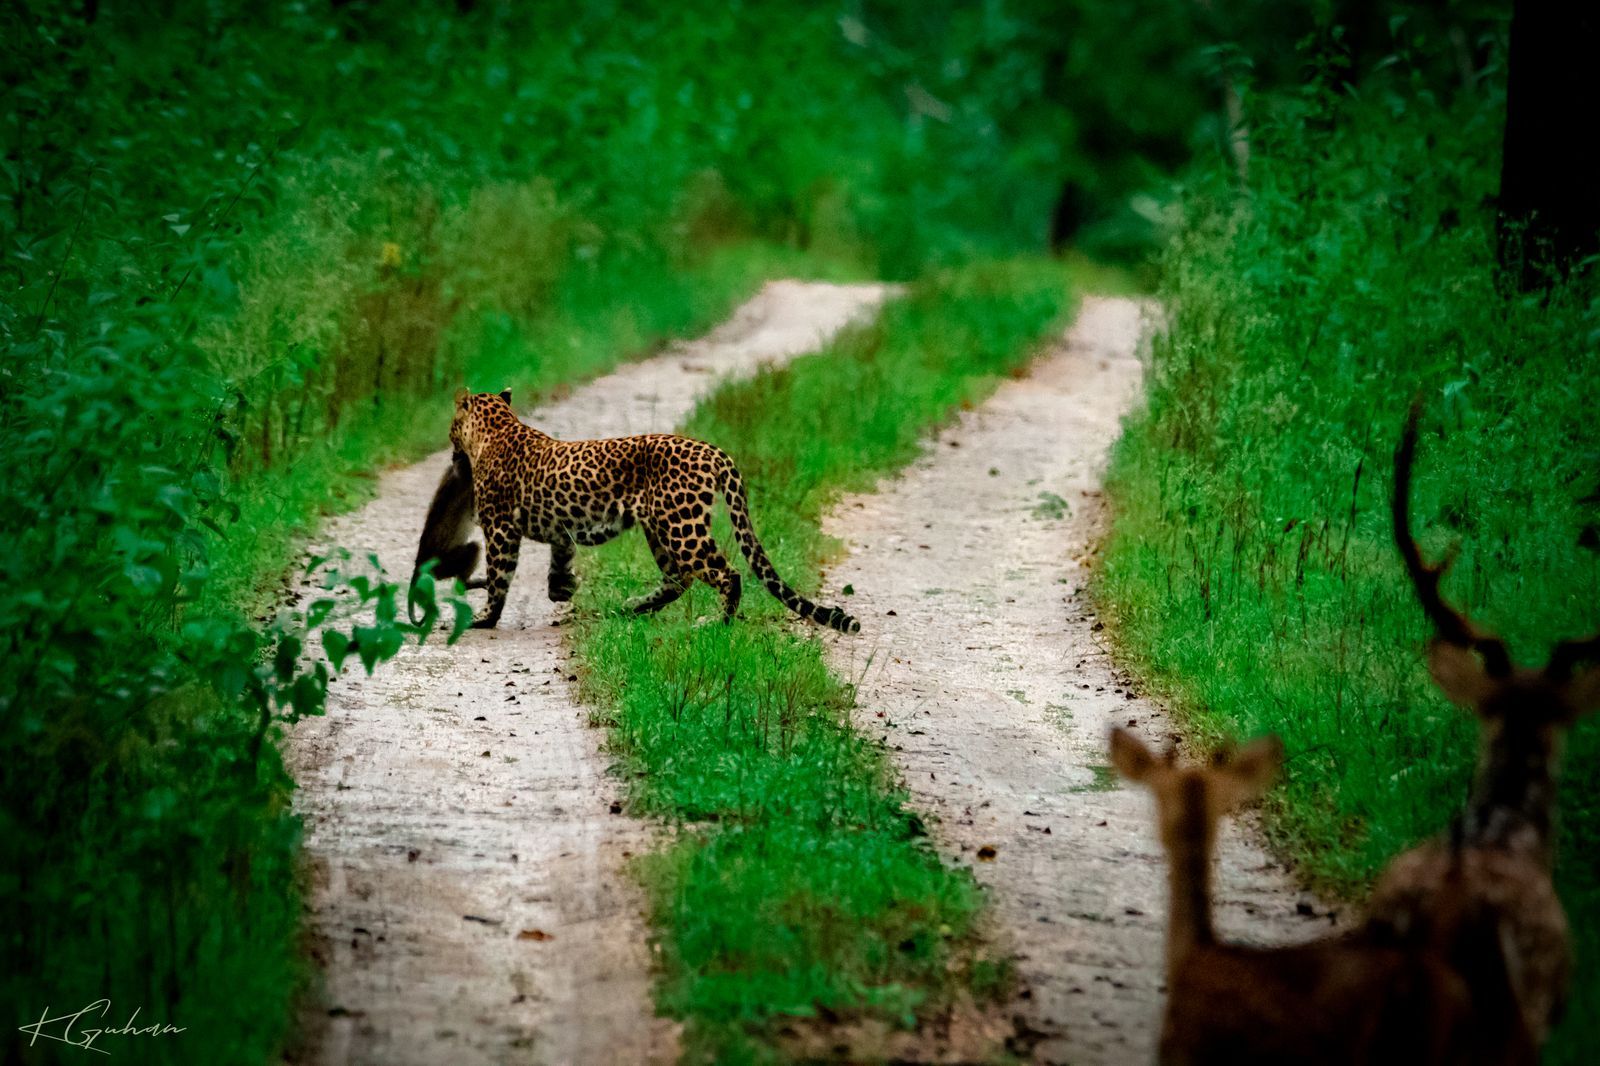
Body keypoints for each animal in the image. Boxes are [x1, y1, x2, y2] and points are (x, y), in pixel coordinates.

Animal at [448, 387, 861, 633]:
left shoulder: (500, 528)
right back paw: (632, 608)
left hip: (682, 529)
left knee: (726, 573)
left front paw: (485, 618)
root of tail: (715, 451)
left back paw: (717, 623)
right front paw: (562, 590)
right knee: (678, 579)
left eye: (452, 425)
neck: (496, 429)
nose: (450, 446)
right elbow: (559, 559)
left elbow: (499, 576)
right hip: (659, 529)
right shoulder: (560, 529)